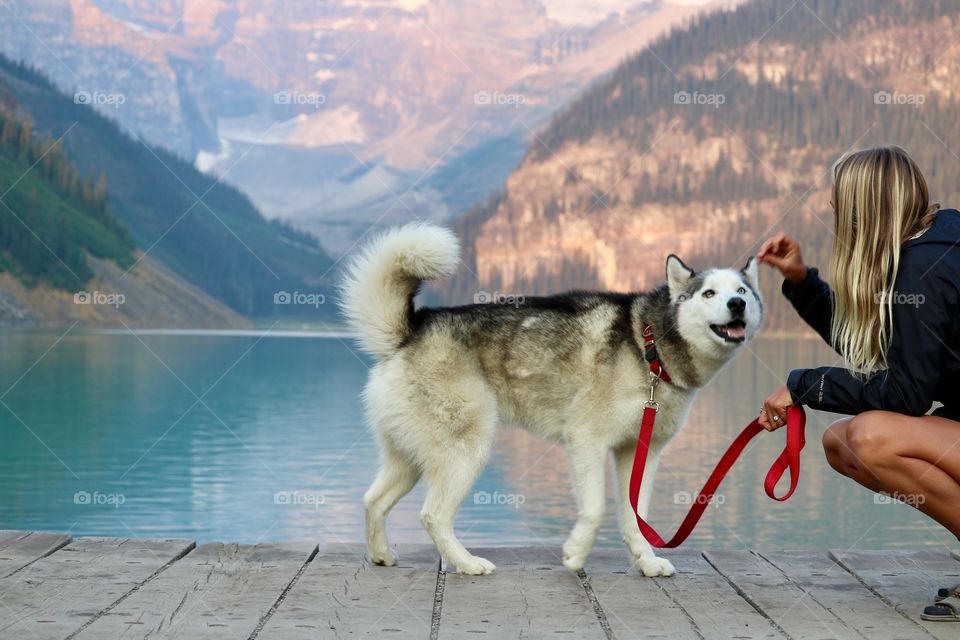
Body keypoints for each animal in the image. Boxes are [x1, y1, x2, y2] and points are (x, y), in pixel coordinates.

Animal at [342, 224, 760, 576]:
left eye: (741, 291)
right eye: (709, 293)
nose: (736, 305)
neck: (650, 345)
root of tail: (410, 330)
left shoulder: (641, 452)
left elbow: (635, 516)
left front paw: (646, 562)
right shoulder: (587, 441)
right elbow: (595, 510)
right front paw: (576, 554)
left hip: (409, 457)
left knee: (373, 500)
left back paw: (382, 555)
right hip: (466, 451)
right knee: (433, 515)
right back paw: (467, 563)